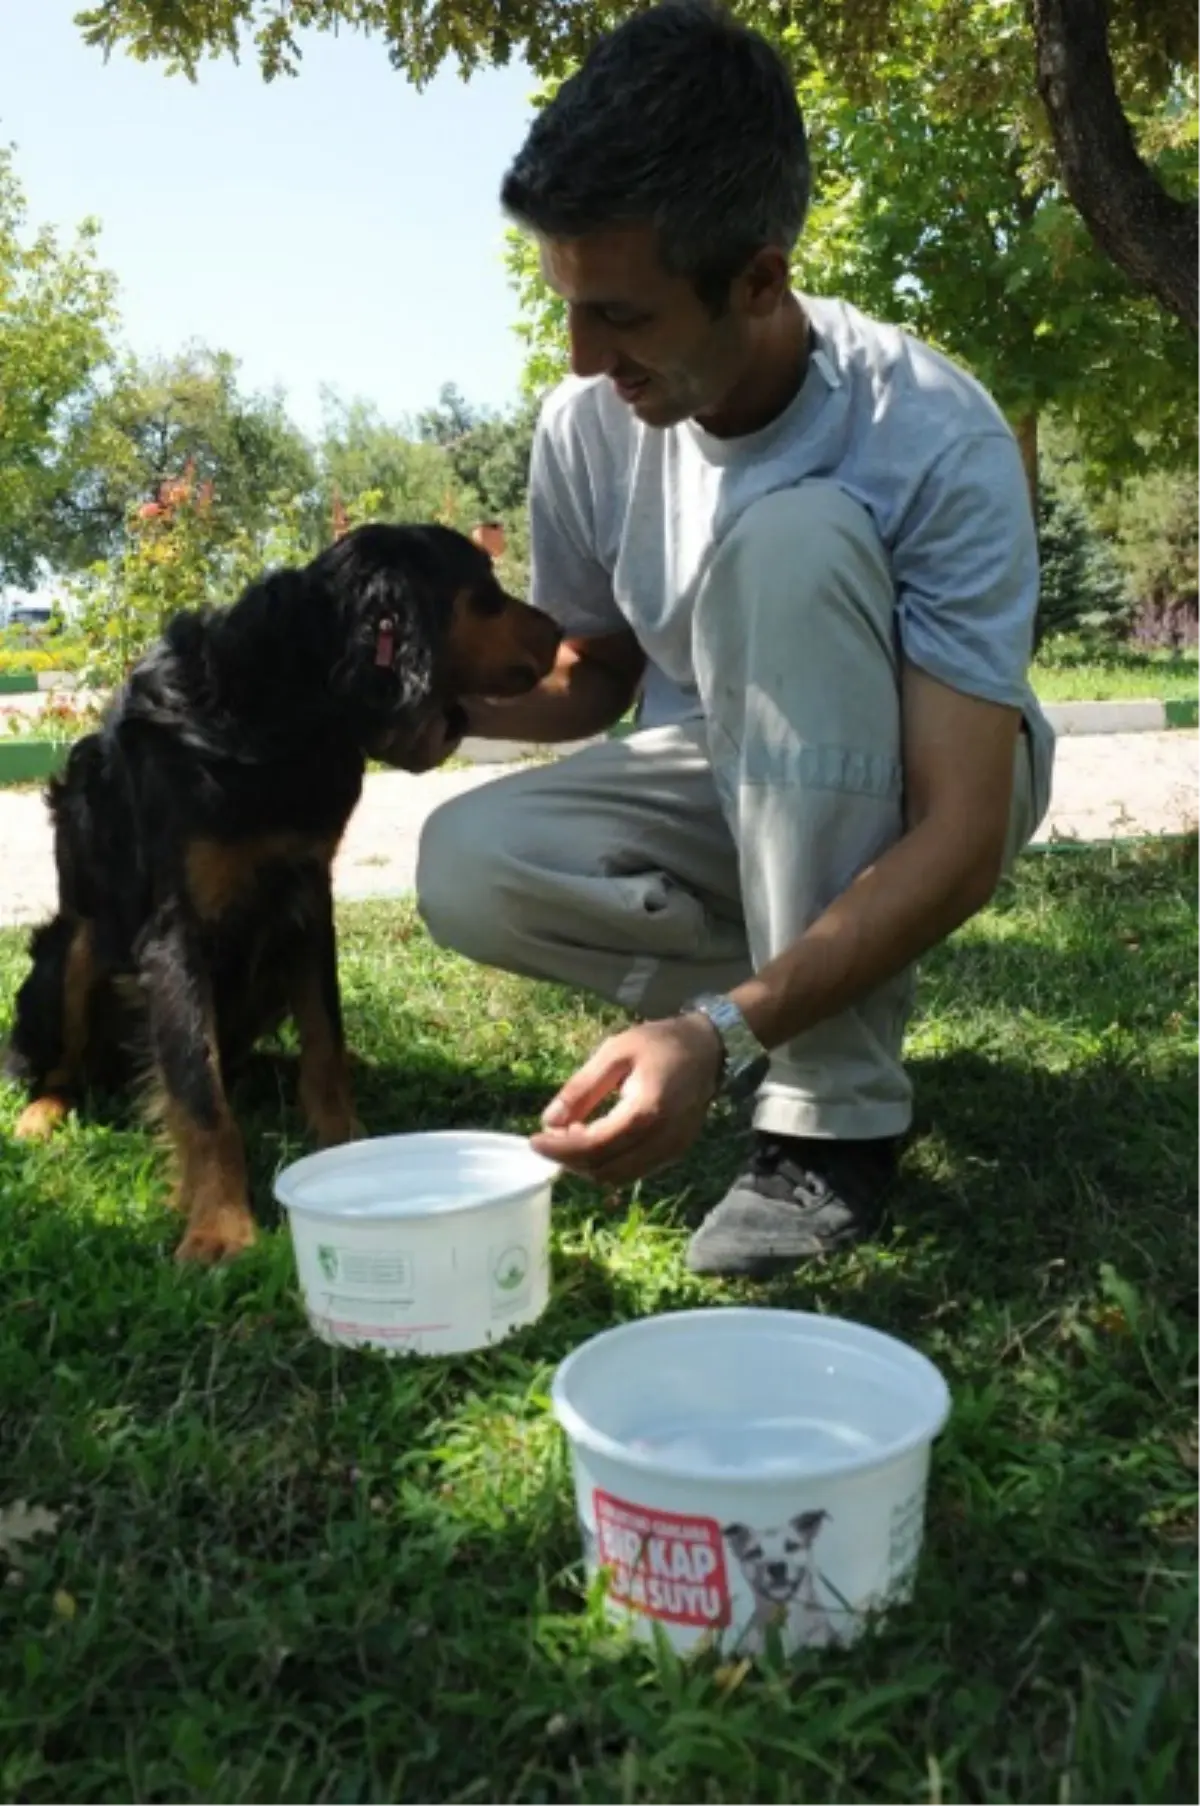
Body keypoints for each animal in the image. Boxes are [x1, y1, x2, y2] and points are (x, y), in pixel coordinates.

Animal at [7, 516, 560, 1264]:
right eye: (485, 594)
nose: (561, 632)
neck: (287, 698)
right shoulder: (174, 932)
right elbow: (200, 1093)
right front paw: (219, 1225)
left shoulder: (307, 897)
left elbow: (325, 1043)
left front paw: (345, 1144)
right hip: (78, 945)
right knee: (63, 1067)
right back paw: (39, 1118)